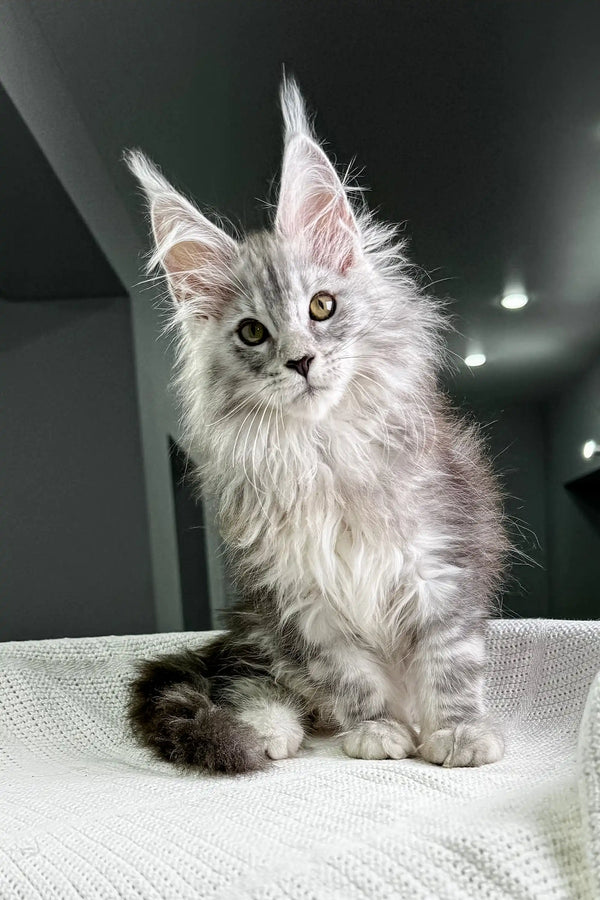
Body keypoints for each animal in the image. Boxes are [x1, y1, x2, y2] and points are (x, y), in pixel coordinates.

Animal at [125, 81, 506, 776]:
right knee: (250, 675)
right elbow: (351, 680)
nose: (300, 360)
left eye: (321, 306)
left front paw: (459, 734)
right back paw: (269, 728)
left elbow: (449, 664)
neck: (323, 451)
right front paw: (379, 731)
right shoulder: (301, 600)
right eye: (253, 332)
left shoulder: (441, 564)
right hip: (258, 624)